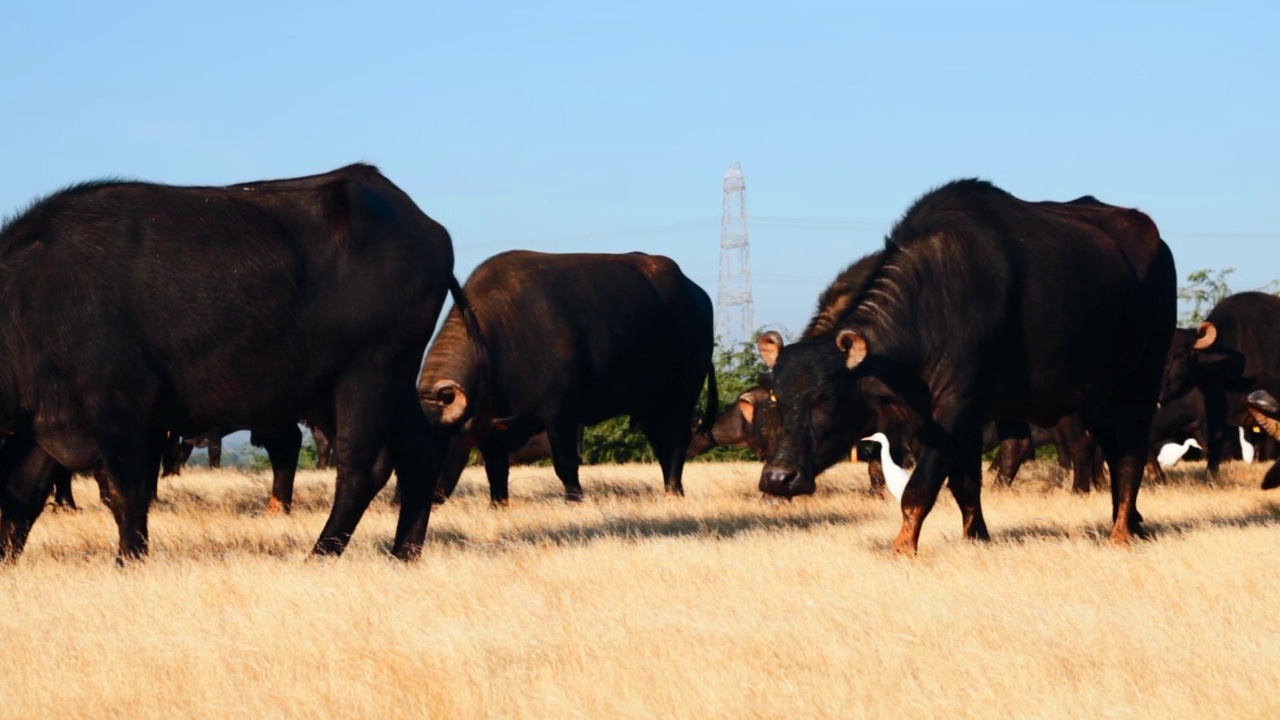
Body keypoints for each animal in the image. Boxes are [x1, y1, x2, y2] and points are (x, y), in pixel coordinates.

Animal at [0, 162, 453, 561]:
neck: (32, 300)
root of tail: (425, 226)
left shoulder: (117, 407)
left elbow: (125, 493)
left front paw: (128, 561)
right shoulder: (49, 419)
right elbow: (22, 495)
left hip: (368, 374)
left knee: (362, 469)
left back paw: (320, 555)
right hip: (391, 381)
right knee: (422, 454)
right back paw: (404, 553)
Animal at [419, 252, 721, 504]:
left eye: (440, 440)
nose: (427, 495)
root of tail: (698, 295)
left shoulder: (561, 415)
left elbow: (565, 463)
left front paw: (574, 499)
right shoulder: (488, 426)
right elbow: (496, 470)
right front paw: (497, 503)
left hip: (681, 394)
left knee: (678, 438)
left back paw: (674, 489)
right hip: (648, 406)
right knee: (661, 442)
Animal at [752, 180, 1172, 556]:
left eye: (826, 397)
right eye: (778, 397)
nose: (778, 478)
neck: (935, 302)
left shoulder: (954, 408)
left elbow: (920, 487)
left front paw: (902, 548)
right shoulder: (955, 421)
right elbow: (965, 485)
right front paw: (976, 538)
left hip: (1139, 383)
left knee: (1131, 453)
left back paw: (1120, 533)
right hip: (1097, 397)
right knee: (1112, 449)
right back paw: (1132, 521)